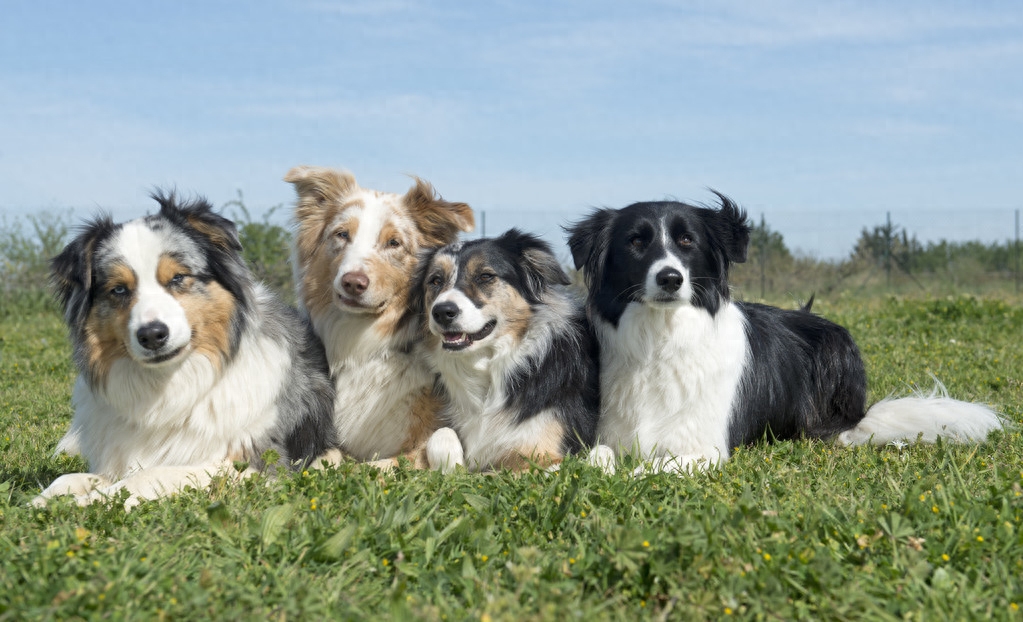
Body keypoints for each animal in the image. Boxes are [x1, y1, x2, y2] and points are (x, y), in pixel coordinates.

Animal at [37, 192, 335, 507]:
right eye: (119, 289)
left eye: (178, 278)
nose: (152, 335)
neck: (170, 386)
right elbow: (68, 479)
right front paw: (43, 500)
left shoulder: (255, 464)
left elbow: (148, 474)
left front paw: (88, 502)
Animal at [413, 229, 601, 470]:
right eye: (435, 280)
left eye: (485, 276)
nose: (442, 312)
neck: (489, 367)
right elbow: (440, 434)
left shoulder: (546, 453)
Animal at [572, 193, 1002, 470]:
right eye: (636, 242)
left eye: (687, 240)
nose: (670, 278)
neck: (662, 338)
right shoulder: (610, 436)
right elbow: (596, 460)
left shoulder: (707, 447)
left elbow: (652, 468)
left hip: (835, 350)